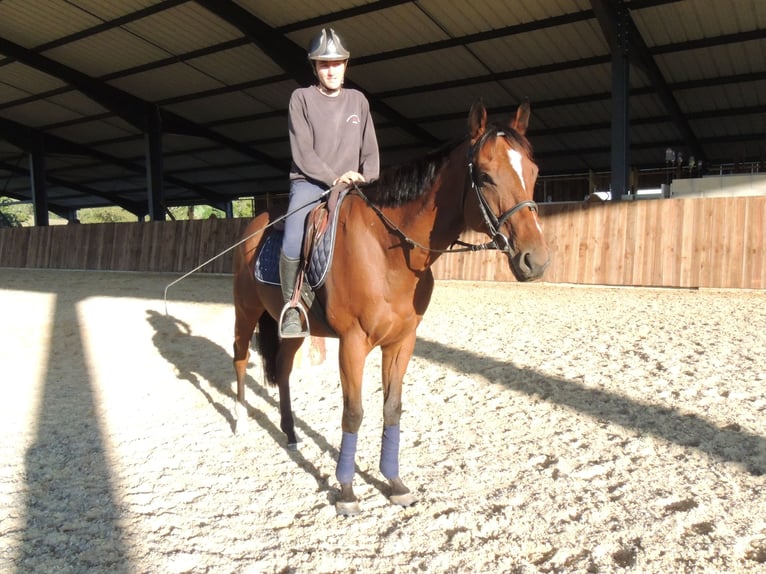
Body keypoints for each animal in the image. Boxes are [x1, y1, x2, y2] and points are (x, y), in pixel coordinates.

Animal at [231, 100, 548, 516]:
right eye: (484, 176)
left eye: (533, 171)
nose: (535, 260)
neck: (387, 250)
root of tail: (256, 223)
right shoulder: (353, 344)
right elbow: (353, 413)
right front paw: (347, 491)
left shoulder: (401, 341)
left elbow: (392, 408)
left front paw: (394, 483)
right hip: (245, 311)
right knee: (239, 359)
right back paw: (239, 422)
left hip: (292, 327)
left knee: (282, 369)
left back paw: (290, 433)